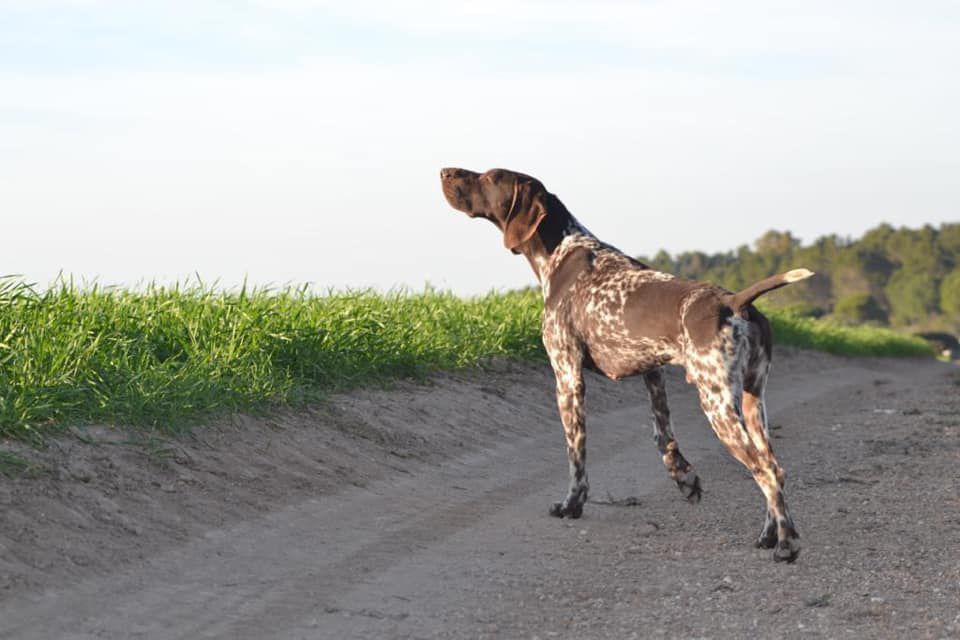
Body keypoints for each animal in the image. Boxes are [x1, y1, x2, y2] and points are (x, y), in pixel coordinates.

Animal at [438, 168, 812, 564]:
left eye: (490, 177)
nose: (445, 171)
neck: (561, 250)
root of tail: (734, 301)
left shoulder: (567, 376)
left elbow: (576, 454)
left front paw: (572, 505)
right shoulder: (653, 371)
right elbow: (662, 435)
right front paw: (684, 477)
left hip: (718, 405)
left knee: (765, 471)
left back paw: (787, 543)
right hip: (753, 402)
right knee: (774, 467)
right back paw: (769, 535)